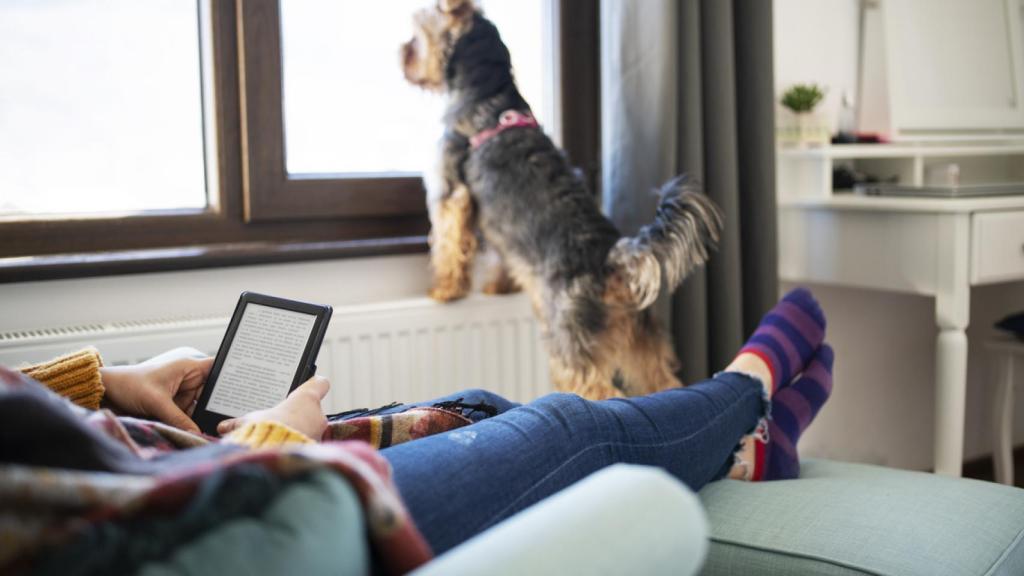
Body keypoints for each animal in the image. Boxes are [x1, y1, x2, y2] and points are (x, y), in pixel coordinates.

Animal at [399, 0, 720, 397]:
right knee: (665, 384)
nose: (402, 55)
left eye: (416, 35)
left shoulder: (448, 191)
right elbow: (501, 257)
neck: (489, 96)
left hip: (571, 343)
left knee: (601, 392)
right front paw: (498, 286)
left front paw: (445, 290)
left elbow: (447, 244)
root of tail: (613, 259)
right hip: (643, 339)